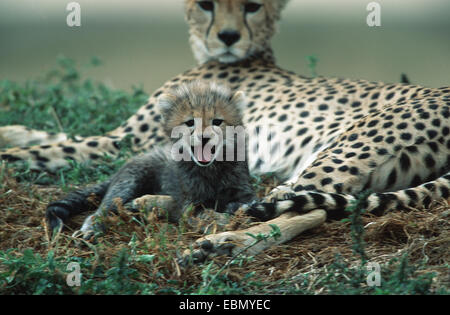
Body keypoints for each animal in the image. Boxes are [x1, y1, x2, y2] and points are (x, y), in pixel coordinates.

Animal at [0, 0, 450, 262]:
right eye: (206, 4)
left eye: (252, 6)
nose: (228, 37)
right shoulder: (121, 139)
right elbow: (45, 137)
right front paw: (12, 130)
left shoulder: (119, 141)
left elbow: (40, 151)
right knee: (291, 204)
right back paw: (160, 208)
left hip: (343, 148)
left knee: (295, 206)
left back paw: (221, 242)